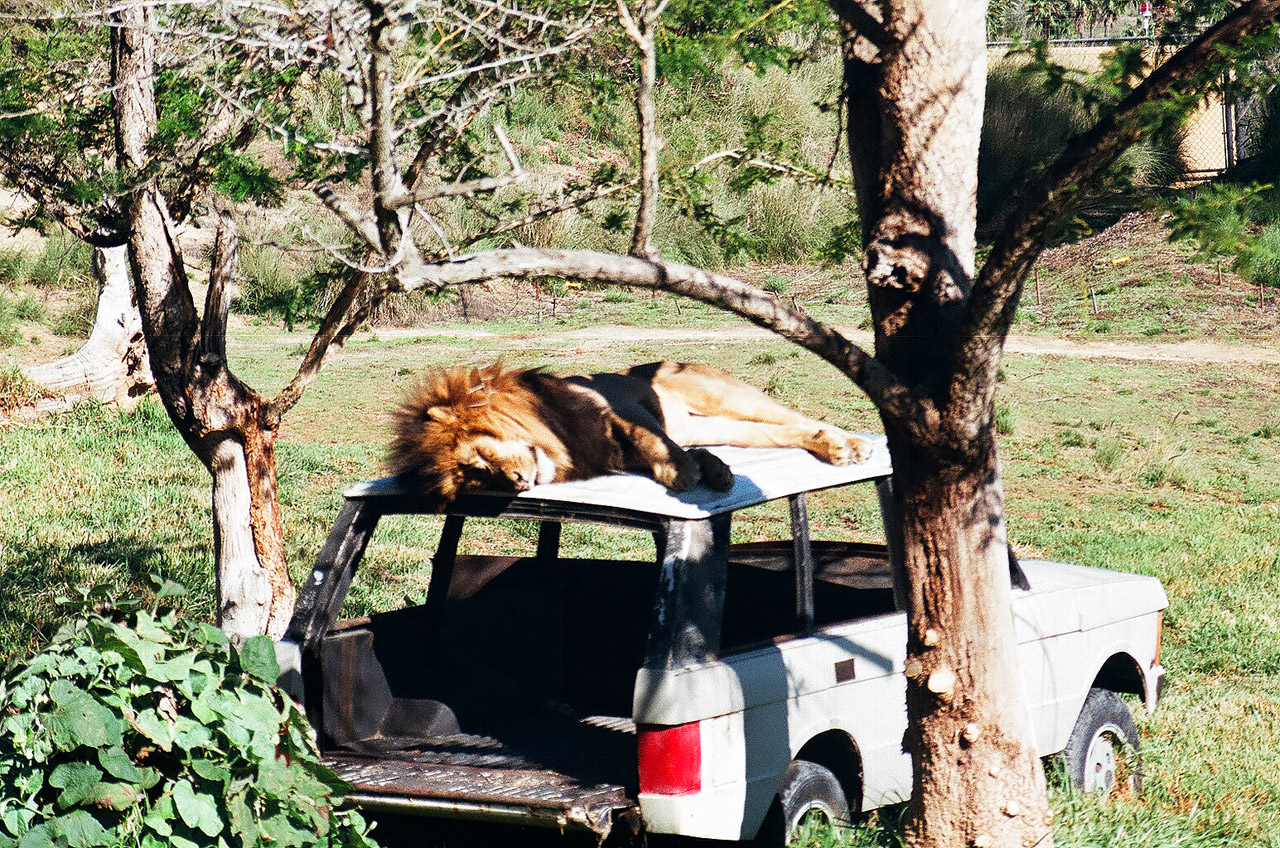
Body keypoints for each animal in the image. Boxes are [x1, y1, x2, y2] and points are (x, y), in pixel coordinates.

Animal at [386, 361, 870, 504]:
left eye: (481, 458)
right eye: (479, 479)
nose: (519, 482)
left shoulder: (622, 404)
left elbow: (651, 437)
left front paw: (683, 474)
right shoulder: (616, 450)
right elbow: (669, 449)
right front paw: (712, 471)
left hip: (722, 397)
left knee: (797, 417)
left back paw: (851, 444)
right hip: (720, 425)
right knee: (788, 430)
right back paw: (834, 447)